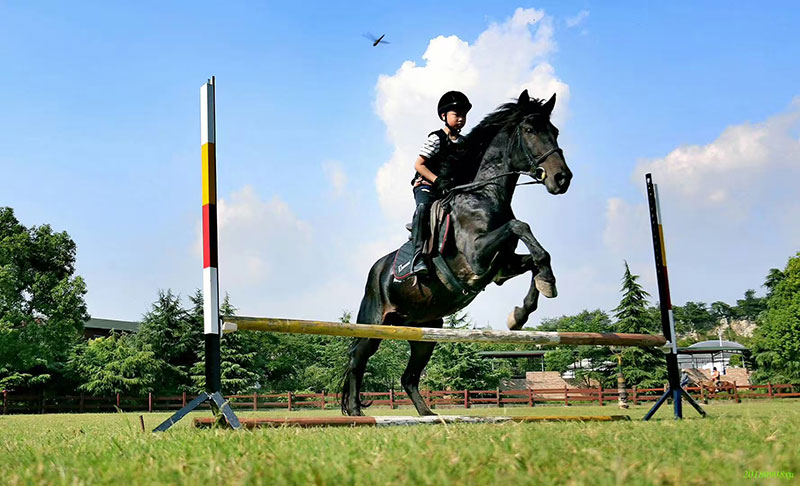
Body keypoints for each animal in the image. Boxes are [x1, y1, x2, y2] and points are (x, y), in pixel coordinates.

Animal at [341, 90, 573, 416]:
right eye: (529, 130)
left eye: (554, 131)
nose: (562, 178)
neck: (484, 195)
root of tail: (376, 270)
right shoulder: (477, 257)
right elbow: (519, 225)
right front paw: (540, 291)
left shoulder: (500, 268)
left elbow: (536, 258)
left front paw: (523, 310)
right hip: (374, 321)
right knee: (357, 359)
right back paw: (355, 411)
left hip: (425, 330)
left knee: (408, 375)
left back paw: (427, 414)